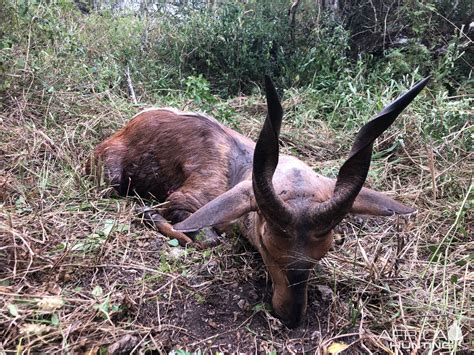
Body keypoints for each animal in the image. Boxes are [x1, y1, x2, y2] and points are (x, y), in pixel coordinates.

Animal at [86, 76, 430, 330]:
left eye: (324, 250)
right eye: (266, 245)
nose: (291, 316)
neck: (239, 165)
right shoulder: (186, 199)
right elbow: (203, 235)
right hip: (111, 179)